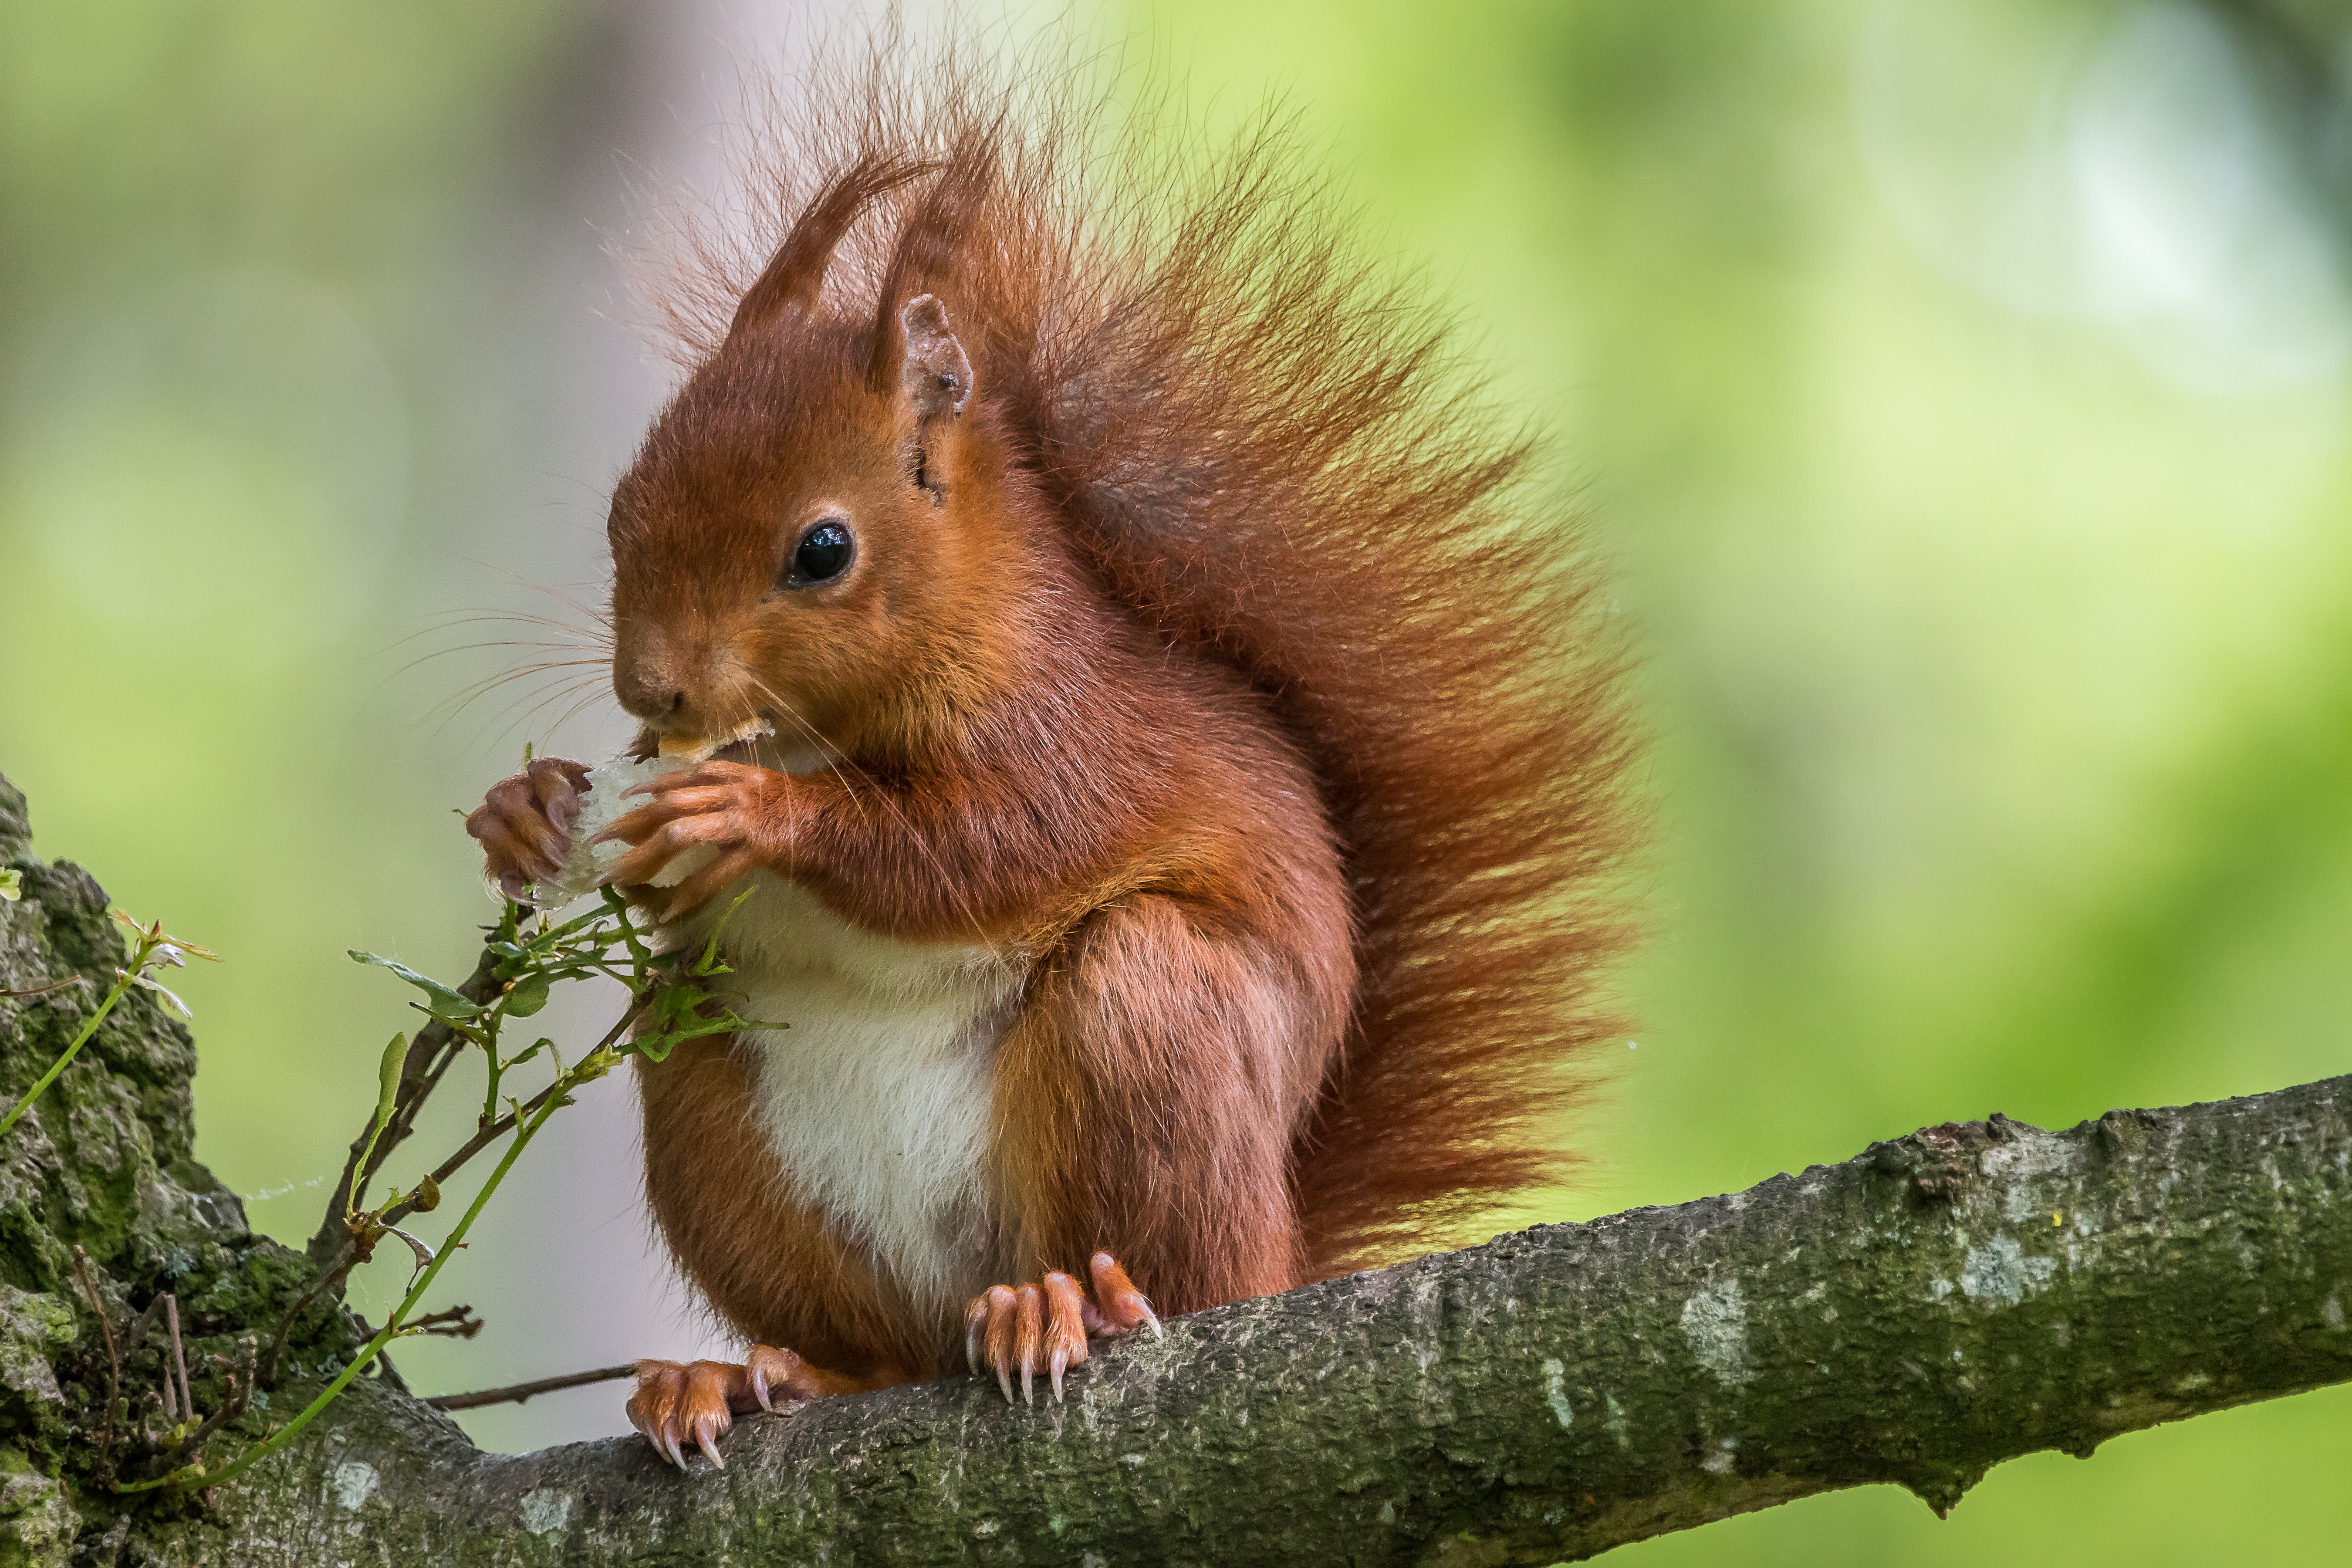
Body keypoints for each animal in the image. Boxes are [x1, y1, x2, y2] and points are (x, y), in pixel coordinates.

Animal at [466, 49, 1627, 1476]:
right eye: (621, 512)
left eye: (822, 551)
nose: (655, 689)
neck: (830, 726)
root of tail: (1283, 1255)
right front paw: (530, 815)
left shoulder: (1075, 732)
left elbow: (985, 847)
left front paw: (754, 811)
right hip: (716, 1113)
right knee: (873, 1344)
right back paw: (748, 1379)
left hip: (1152, 1028)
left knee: (1167, 1250)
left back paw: (1076, 1307)